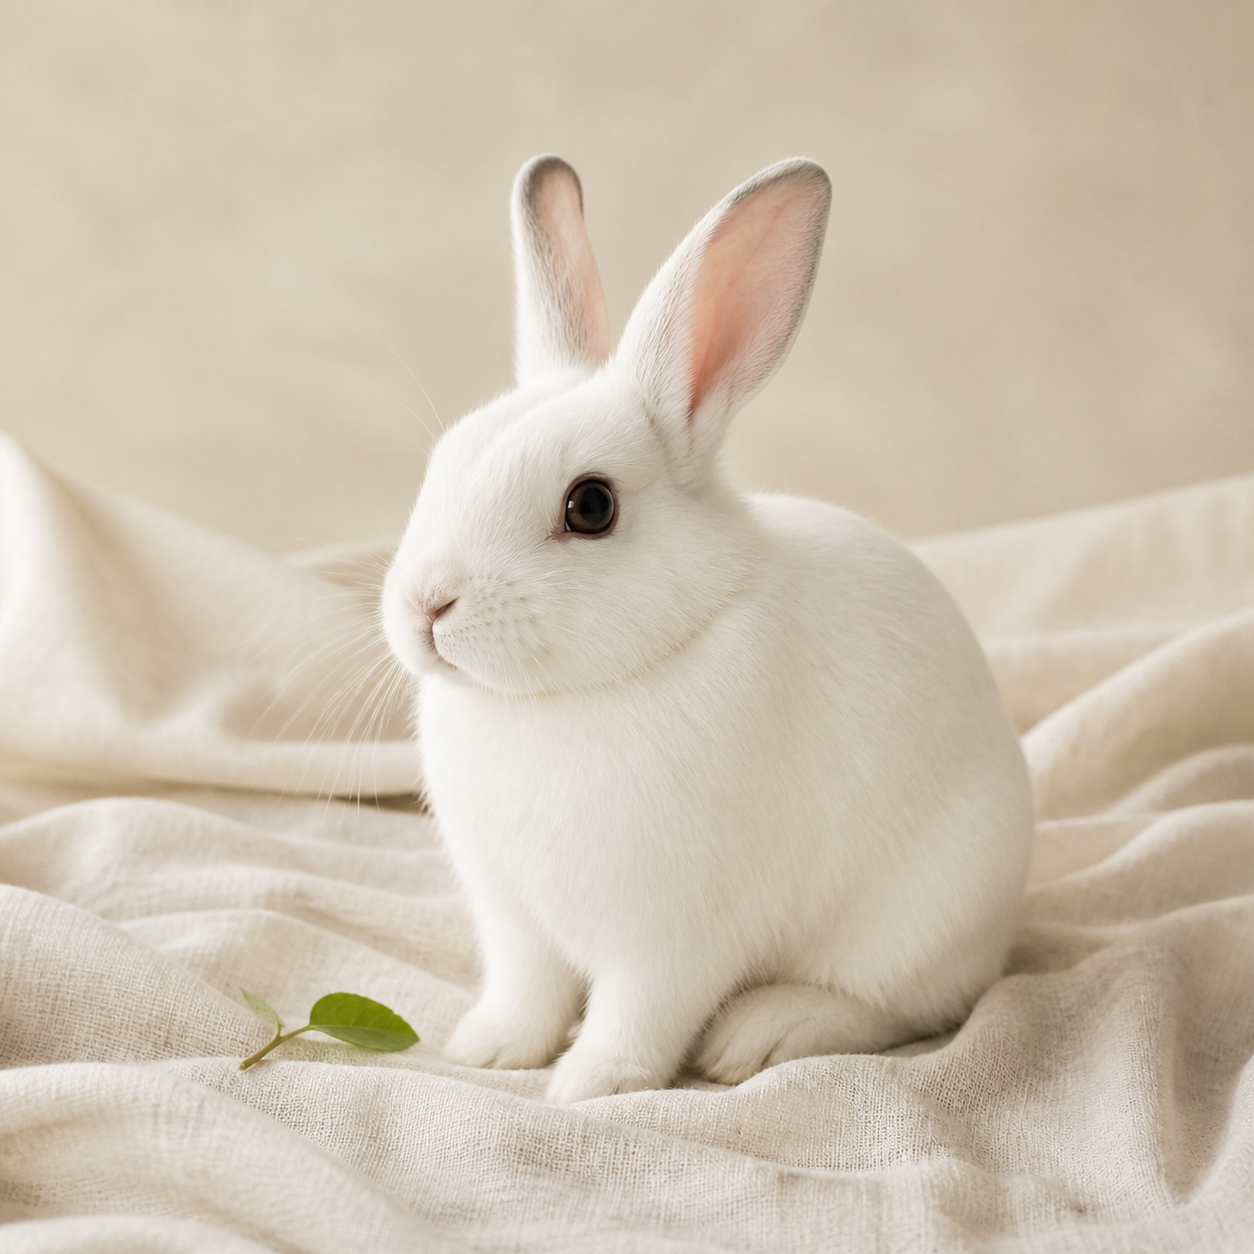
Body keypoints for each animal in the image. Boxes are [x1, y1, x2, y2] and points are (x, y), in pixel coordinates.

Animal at [382, 154, 1035, 1104]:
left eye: (590, 507)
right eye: (441, 465)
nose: (427, 604)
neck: (564, 699)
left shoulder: (672, 934)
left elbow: (639, 1015)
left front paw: (591, 1084)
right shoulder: (514, 918)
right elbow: (527, 993)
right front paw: (489, 1049)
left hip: (924, 915)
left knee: (904, 1006)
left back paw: (763, 1034)